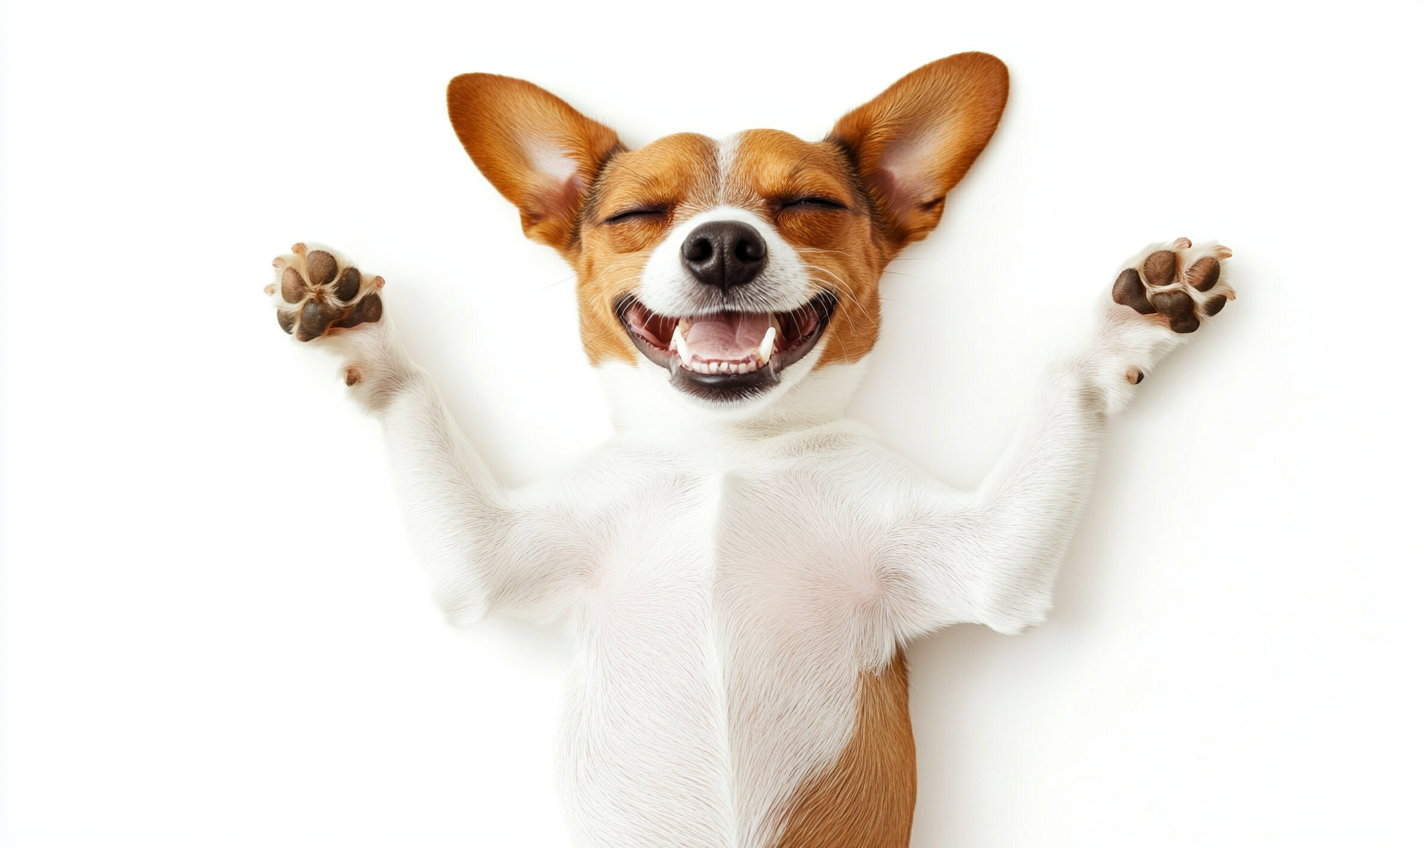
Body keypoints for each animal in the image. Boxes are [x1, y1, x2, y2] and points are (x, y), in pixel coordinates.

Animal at [267, 53, 1236, 848]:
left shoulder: (991, 565)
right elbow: (410, 394)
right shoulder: (482, 561)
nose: (724, 243)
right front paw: (357, 332)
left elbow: (1071, 379)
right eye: (639, 213)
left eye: (809, 204)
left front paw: (1133, 326)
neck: (724, 453)